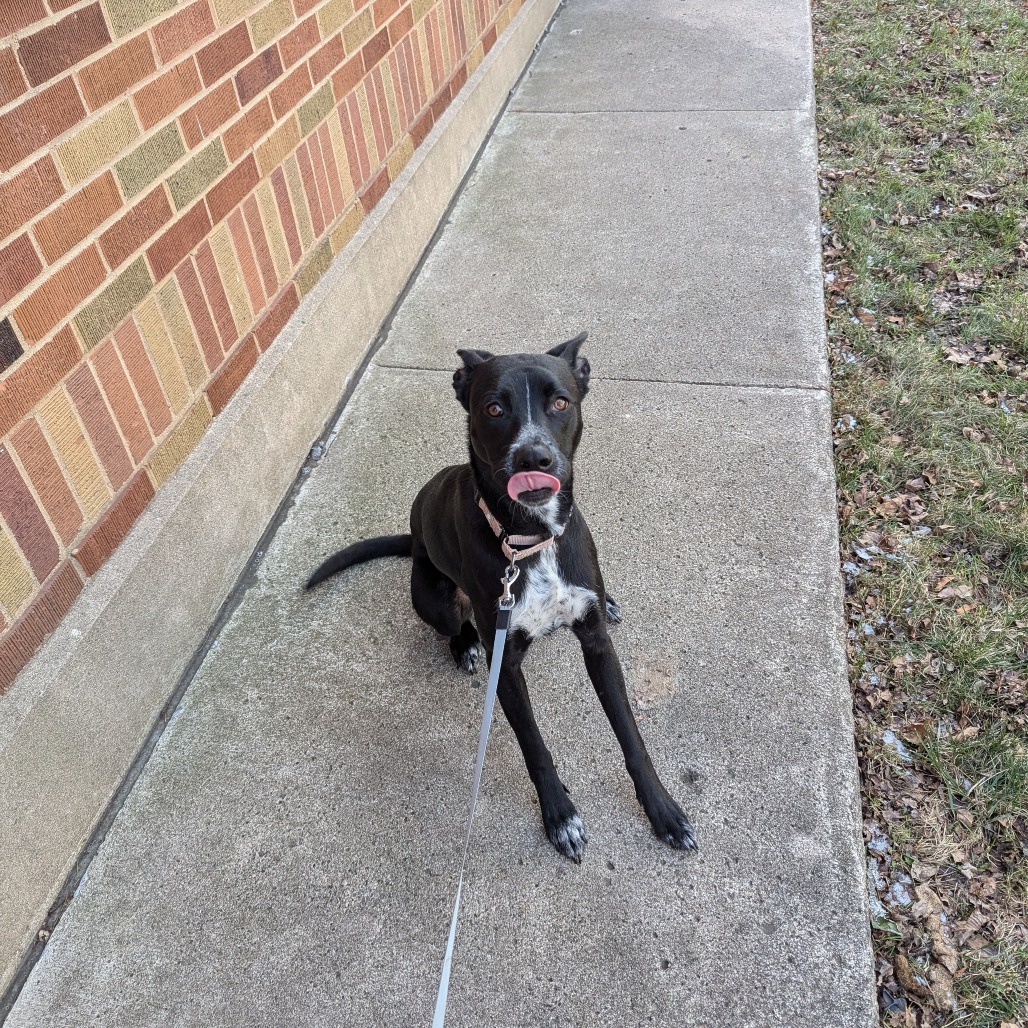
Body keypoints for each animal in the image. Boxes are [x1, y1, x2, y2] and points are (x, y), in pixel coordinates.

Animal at [302, 335, 690, 859]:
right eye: (493, 408)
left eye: (560, 403)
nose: (534, 459)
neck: (530, 538)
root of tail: (413, 538)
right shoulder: (503, 664)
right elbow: (535, 747)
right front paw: (560, 815)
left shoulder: (598, 646)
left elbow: (631, 735)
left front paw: (661, 808)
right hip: (435, 597)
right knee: (452, 624)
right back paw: (464, 644)